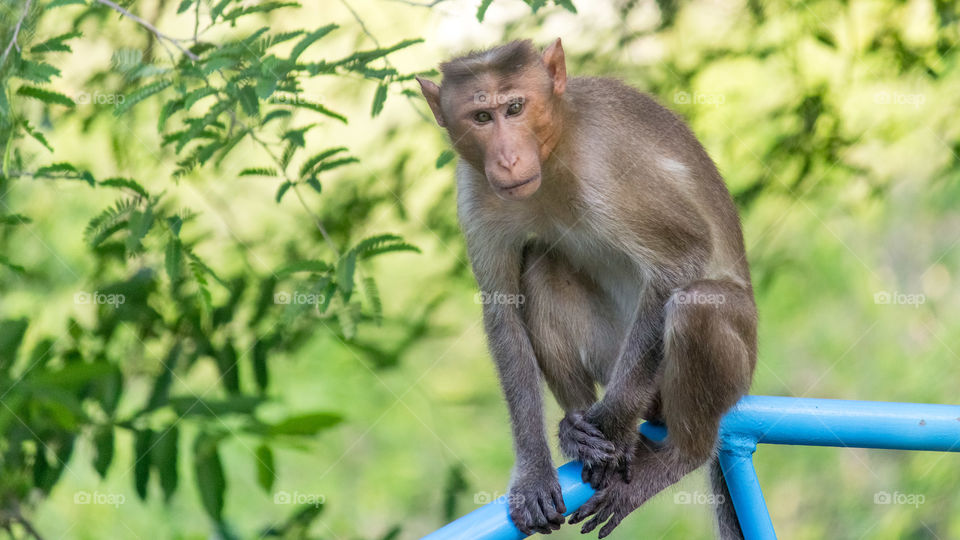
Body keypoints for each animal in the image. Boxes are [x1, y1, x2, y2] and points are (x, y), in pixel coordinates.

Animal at [418, 38, 757, 538]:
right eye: (481, 117)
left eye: (515, 107)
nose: (508, 159)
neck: (554, 150)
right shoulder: (475, 191)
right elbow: (504, 312)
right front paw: (534, 471)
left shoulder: (607, 167)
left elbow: (682, 258)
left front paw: (612, 428)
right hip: (612, 355)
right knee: (540, 265)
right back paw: (576, 425)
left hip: (731, 365)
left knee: (698, 304)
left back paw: (678, 455)